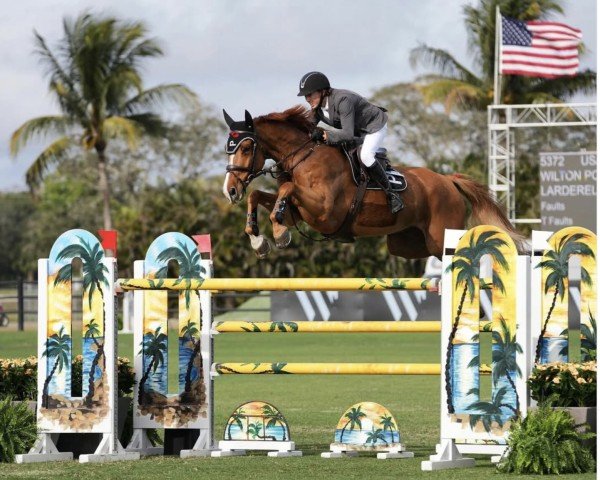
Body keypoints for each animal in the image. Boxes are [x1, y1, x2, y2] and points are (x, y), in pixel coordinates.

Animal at [220, 106, 520, 258]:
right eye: (228, 147)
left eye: (245, 148)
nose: (230, 190)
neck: (303, 156)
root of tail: (448, 180)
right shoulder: (299, 212)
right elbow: (259, 196)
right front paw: (258, 240)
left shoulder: (325, 212)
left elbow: (286, 187)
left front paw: (279, 235)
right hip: (409, 244)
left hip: (442, 238)